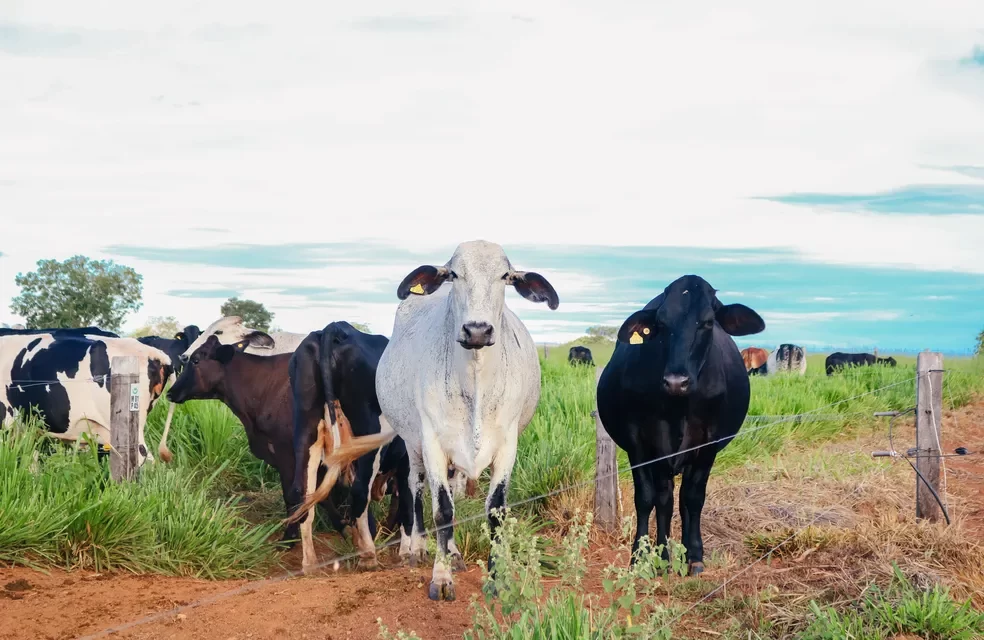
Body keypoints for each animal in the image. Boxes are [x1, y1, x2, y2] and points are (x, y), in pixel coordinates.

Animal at [284, 322, 412, 572]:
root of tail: (335, 328)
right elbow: (409, 501)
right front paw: (410, 551)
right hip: (370, 432)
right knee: (360, 490)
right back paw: (368, 555)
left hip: (306, 430)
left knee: (302, 492)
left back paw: (310, 563)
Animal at [596, 274, 764, 576]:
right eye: (661, 324)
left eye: (707, 322)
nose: (676, 381)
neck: (679, 408)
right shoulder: (639, 443)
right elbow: (647, 498)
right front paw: (642, 556)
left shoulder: (709, 442)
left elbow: (694, 497)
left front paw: (694, 556)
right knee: (665, 499)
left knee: (684, 499)